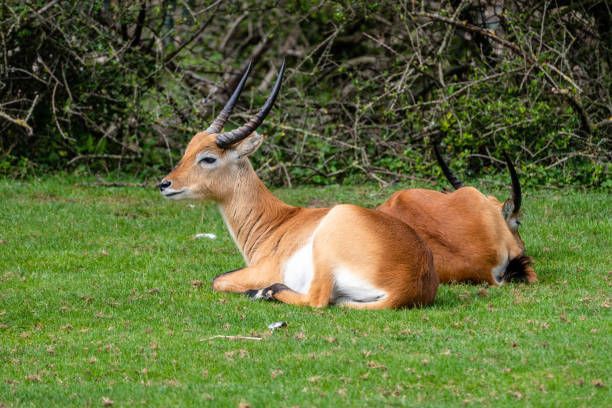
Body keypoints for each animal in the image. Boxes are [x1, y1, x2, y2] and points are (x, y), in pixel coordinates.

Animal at [160, 61, 438, 310]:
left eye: (208, 158)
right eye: (188, 149)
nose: (164, 184)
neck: (275, 222)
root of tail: (409, 283)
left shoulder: (260, 271)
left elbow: (218, 279)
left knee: (316, 300)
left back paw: (264, 292)